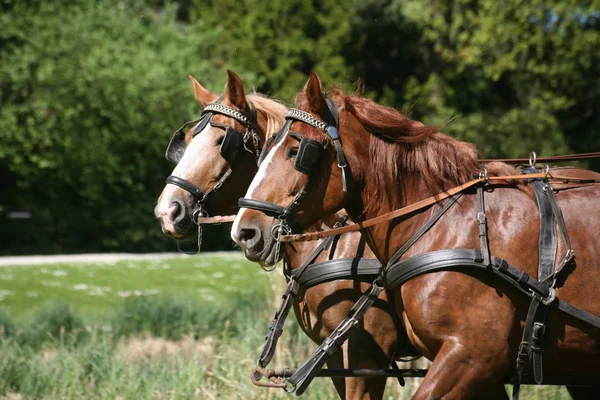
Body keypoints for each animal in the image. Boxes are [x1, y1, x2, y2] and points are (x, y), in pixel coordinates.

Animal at [154, 72, 412, 400]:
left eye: (222, 142)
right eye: (186, 141)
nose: (167, 211)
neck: (337, 241)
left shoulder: (366, 357)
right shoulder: (334, 358)